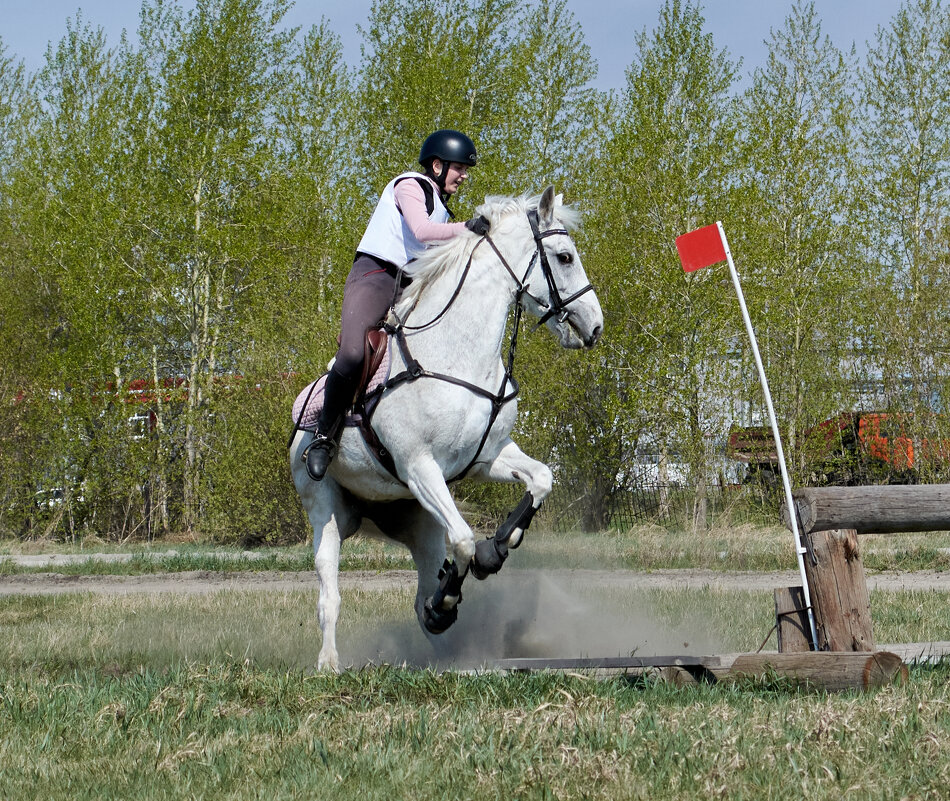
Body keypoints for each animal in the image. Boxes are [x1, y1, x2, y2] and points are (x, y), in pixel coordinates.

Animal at [286, 188, 608, 668]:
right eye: (565, 257)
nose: (594, 326)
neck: (458, 352)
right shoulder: (420, 467)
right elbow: (464, 540)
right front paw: (459, 587)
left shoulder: (487, 457)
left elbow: (541, 480)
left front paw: (498, 548)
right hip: (325, 507)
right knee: (331, 594)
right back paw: (329, 662)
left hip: (418, 522)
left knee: (421, 592)